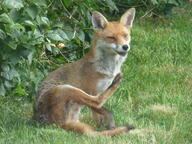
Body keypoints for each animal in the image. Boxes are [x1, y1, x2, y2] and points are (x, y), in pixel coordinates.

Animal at [32, 7, 135, 136]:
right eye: (111, 38)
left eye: (125, 36)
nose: (125, 47)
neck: (109, 69)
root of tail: (59, 125)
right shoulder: (92, 90)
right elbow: (97, 109)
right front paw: (103, 126)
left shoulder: (99, 89)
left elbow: (99, 112)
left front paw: (104, 126)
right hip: (66, 88)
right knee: (96, 101)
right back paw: (116, 84)